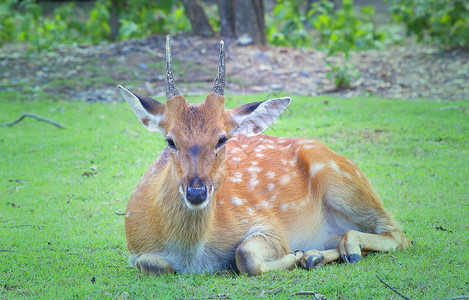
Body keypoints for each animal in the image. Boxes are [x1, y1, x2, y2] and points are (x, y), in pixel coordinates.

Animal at [117, 35, 410, 276]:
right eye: (170, 141)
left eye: (222, 139)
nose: (196, 192)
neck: (190, 255)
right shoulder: (134, 249)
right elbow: (151, 263)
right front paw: (302, 256)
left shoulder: (269, 224)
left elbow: (244, 255)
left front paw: (294, 255)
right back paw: (315, 255)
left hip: (344, 180)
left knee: (398, 233)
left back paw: (330, 252)